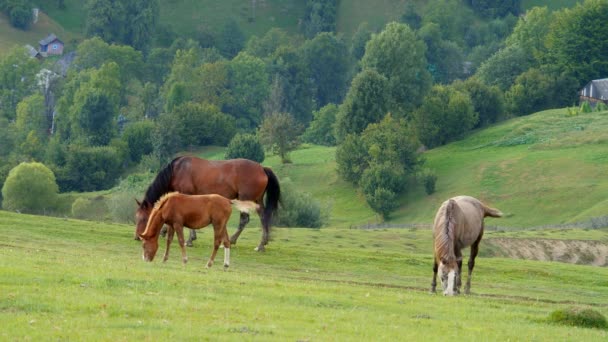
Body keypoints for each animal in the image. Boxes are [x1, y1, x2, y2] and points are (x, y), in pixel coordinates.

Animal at [135, 157, 280, 251]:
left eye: (144, 219)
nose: (137, 237)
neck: (176, 171)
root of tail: (262, 168)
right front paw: (165, 231)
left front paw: (189, 240)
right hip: (257, 200)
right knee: (263, 217)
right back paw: (262, 243)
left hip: (246, 200)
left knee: (244, 220)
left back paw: (234, 241)